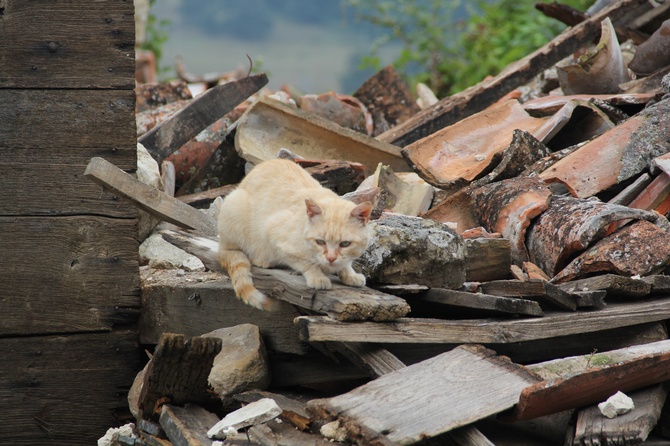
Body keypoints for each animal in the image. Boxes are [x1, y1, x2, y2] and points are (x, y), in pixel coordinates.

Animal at [218, 158, 372, 310]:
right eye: (320, 242)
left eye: (345, 244)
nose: (331, 258)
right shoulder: (275, 234)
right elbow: (306, 263)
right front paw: (318, 277)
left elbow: (346, 263)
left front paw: (350, 275)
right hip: (234, 206)